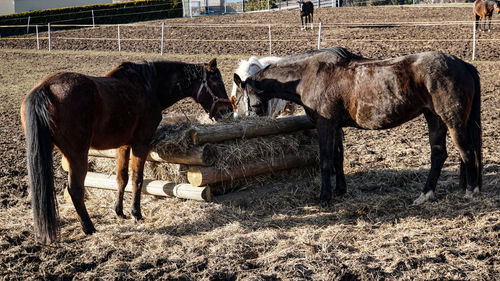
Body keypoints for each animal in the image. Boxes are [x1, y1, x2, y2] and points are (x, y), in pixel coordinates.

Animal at [19, 57, 230, 243]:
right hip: (77, 155)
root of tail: (45, 89)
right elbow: (137, 179)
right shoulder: (140, 144)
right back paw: (89, 227)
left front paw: (119, 211)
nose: (226, 111)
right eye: (217, 81)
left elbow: (122, 178)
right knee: (76, 190)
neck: (149, 86)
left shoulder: (123, 146)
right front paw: (136, 213)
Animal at [234, 47, 480, 206]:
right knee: (439, 155)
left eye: (240, 95)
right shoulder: (336, 126)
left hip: (453, 120)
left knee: (467, 152)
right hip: (434, 118)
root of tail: (463, 64)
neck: (309, 75)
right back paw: (425, 195)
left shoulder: (325, 125)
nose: (241, 118)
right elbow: (337, 158)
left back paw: (471, 191)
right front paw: (340, 190)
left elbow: (326, 161)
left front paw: (324, 197)